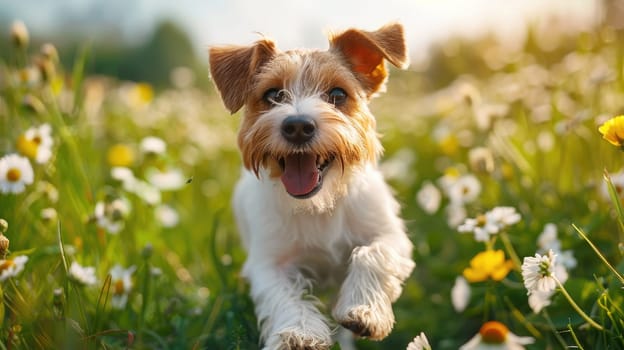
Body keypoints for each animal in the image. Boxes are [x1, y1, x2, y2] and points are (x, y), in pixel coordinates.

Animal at [208, 23, 414, 348]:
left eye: (338, 94)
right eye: (273, 94)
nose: (297, 126)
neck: (320, 205)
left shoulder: (389, 236)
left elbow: (372, 255)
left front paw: (364, 309)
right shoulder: (270, 264)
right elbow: (285, 298)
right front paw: (298, 333)